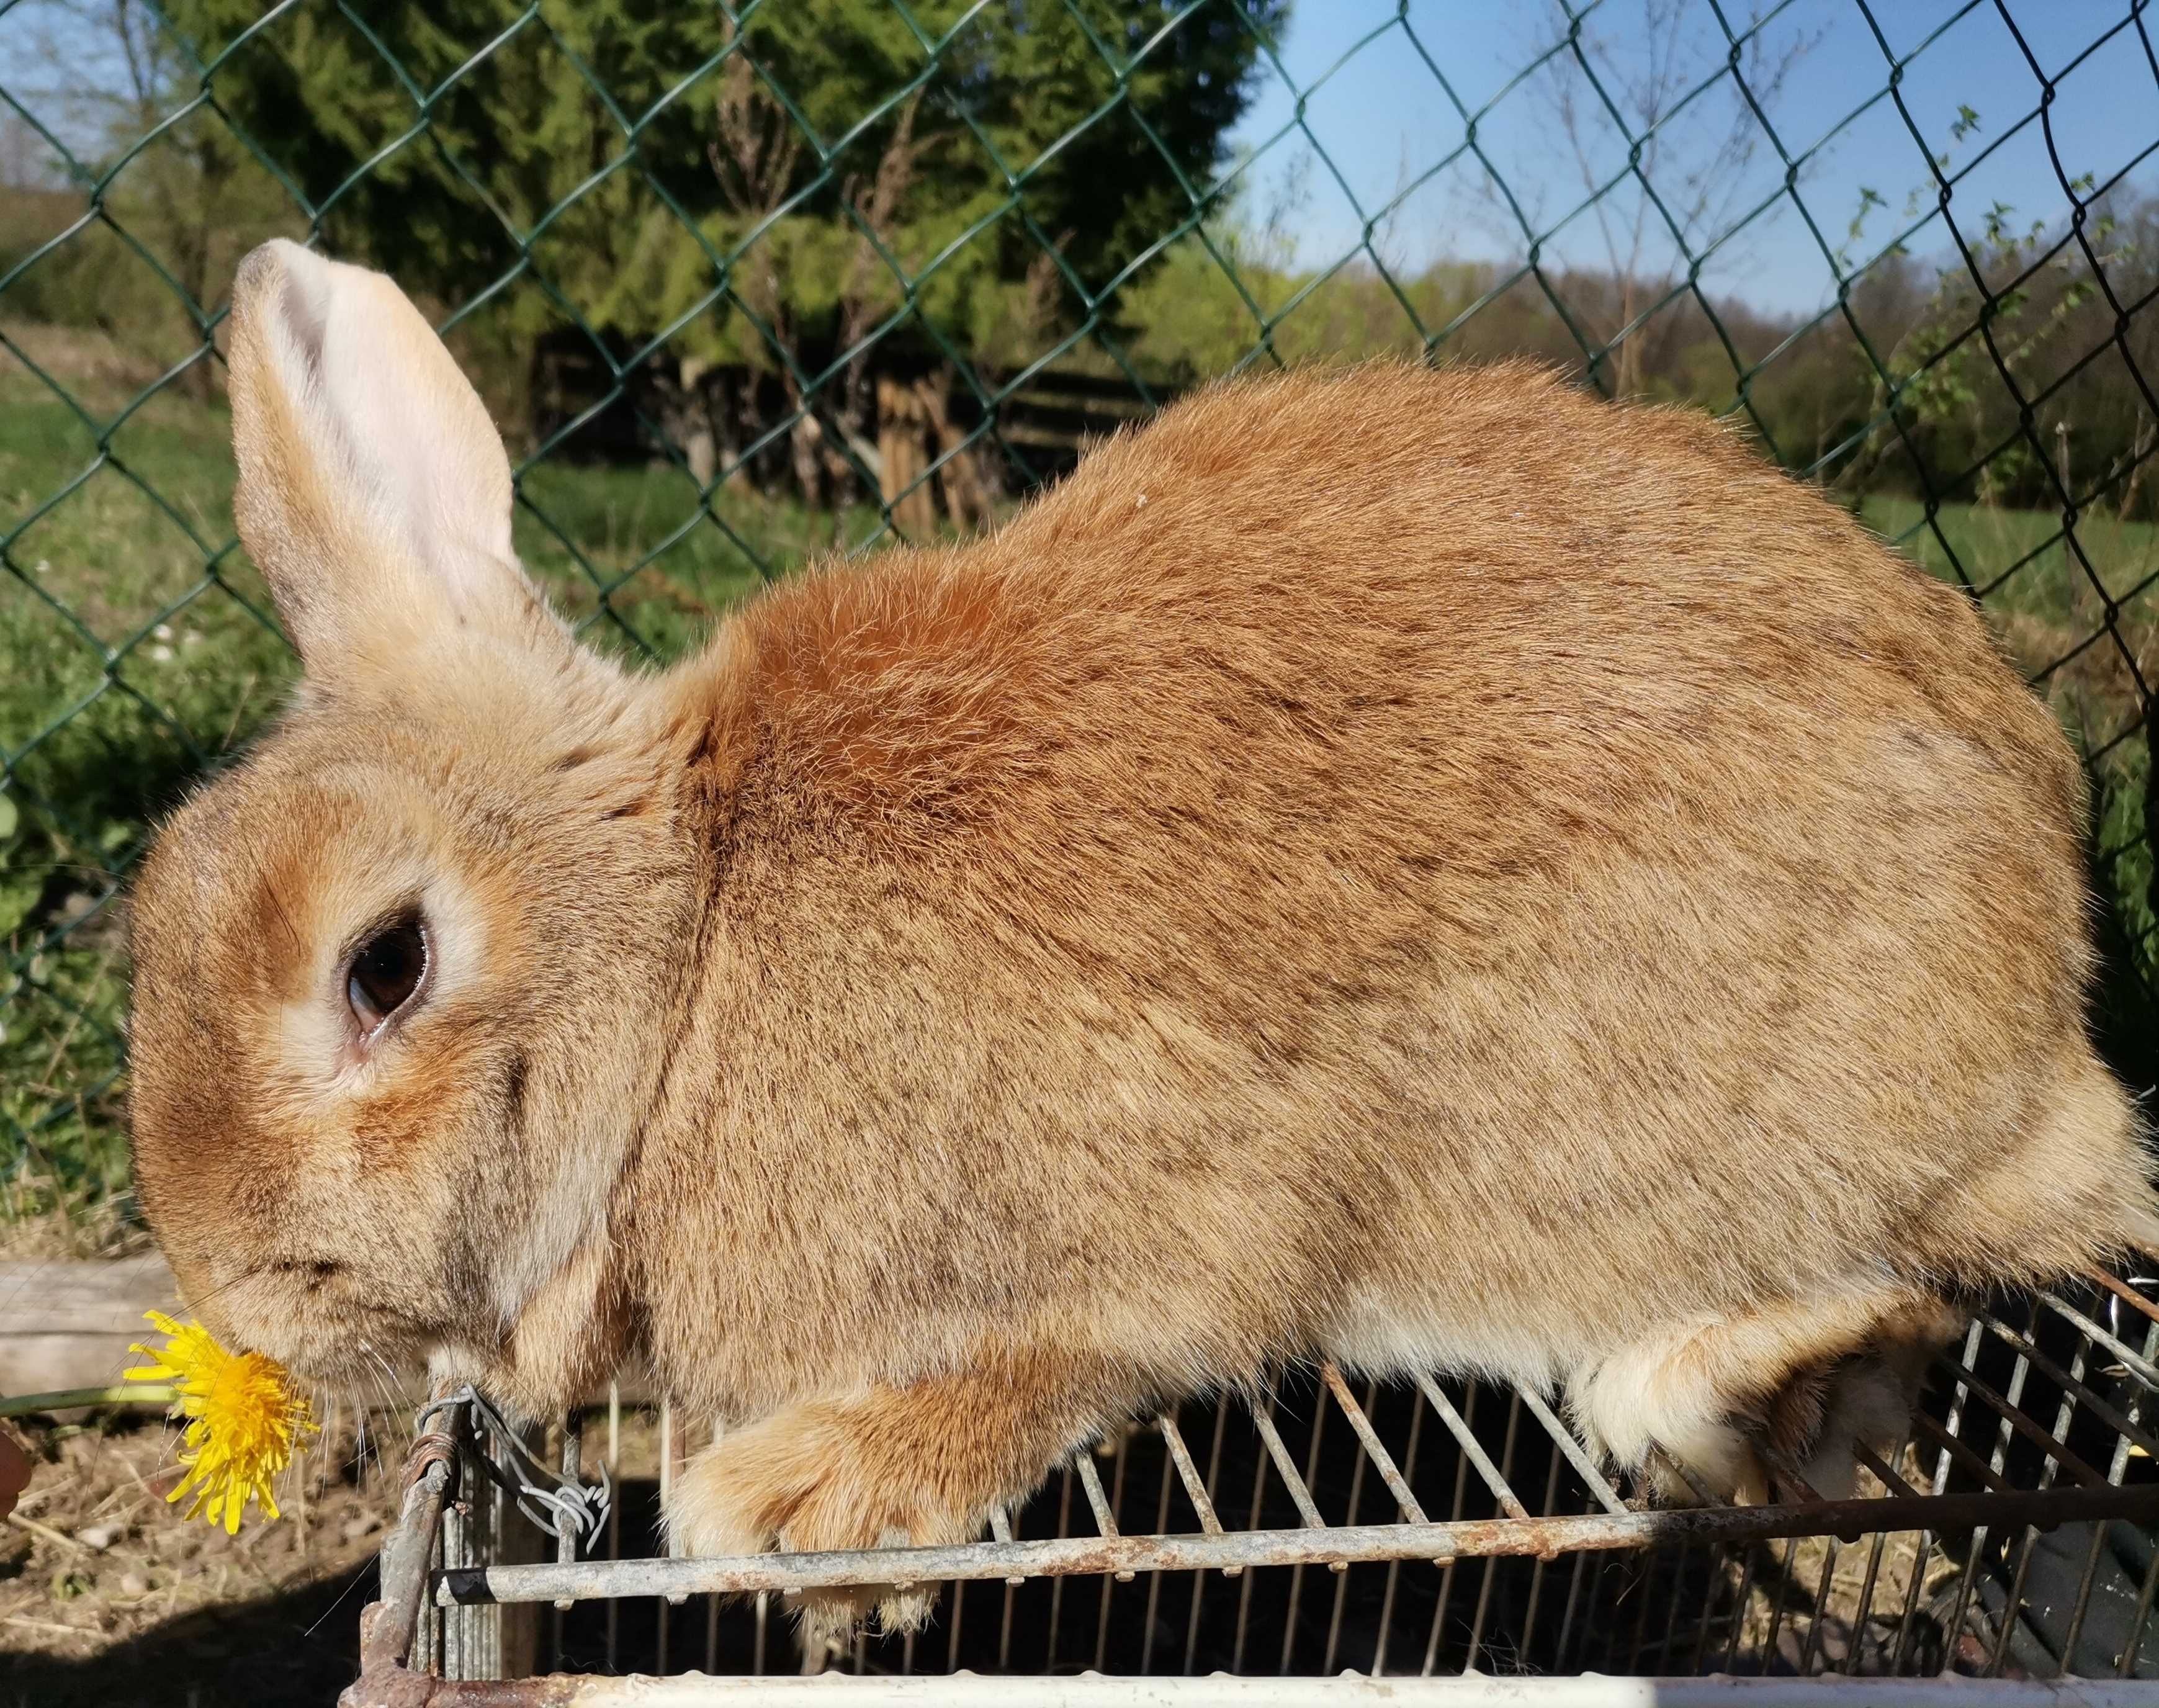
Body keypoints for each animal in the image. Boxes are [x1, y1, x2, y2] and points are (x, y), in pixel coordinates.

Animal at [130, 240, 2159, 1641]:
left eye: (384, 963)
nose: (249, 1302)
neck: (694, 954)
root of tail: (2056, 962)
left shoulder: (1186, 1207)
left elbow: (1110, 1339)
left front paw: (799, 1503)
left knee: (1966, 1252)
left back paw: (1718, 1382)